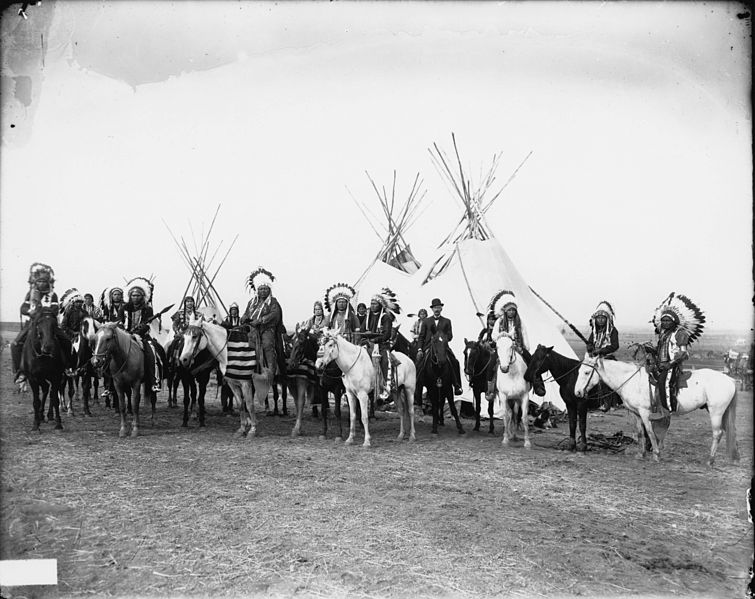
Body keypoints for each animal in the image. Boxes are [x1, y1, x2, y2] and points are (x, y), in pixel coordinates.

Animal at [576, 354, 740, 466]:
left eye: (586, 372)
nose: (577, 392)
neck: (631, 380)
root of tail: (730, 380)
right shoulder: (636, 413)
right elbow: (640, 433)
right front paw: (641, 454)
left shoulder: (645, 412)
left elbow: (650, 432)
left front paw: (656, 455)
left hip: (716, 412)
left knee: (717, 434)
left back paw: (710, 460)